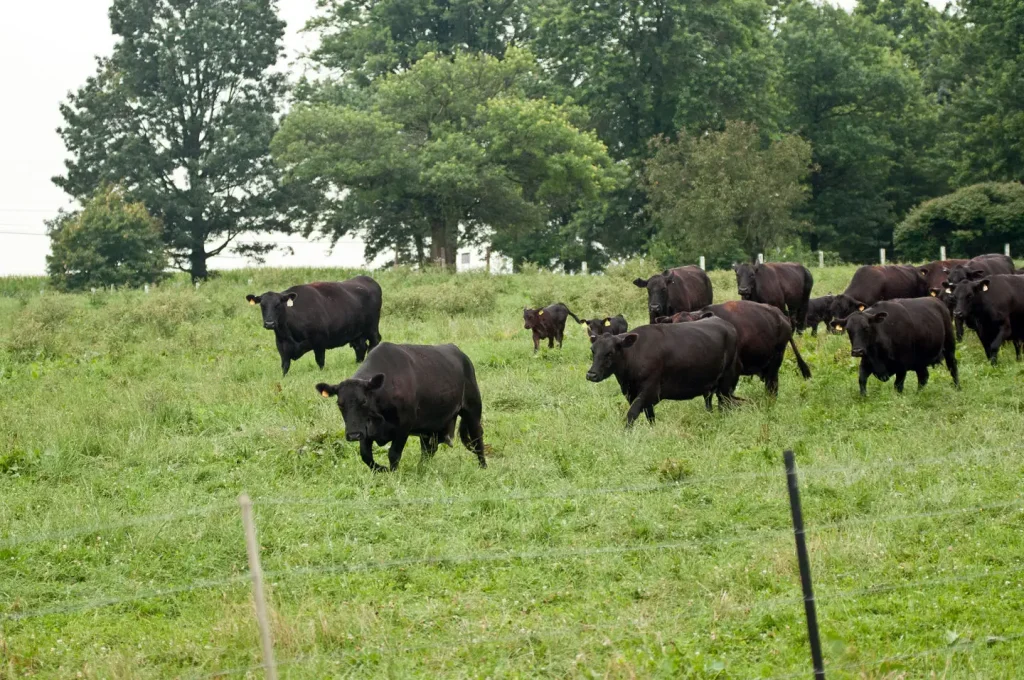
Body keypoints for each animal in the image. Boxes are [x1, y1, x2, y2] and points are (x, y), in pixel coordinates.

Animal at [246, 277, 382, 376]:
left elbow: (320, 361)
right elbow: (285, 366)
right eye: (262, 305)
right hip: (358, 334)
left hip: (372, 329)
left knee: (374, 344)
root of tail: (366, 278)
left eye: (278, 304)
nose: (270, 323)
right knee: (360, 348)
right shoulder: (282, 345)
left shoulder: (319, 342)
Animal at [315, 342, 486, 472]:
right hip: (429, 426)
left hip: (472, 410)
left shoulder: (404, 427)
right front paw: (381, 469)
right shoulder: (366, 429)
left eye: (363, 401)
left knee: (477, 437)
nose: (353, 435)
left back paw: (483, 466)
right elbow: (366, 456)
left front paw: (392, 473)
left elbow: (393, 454)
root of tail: (459, 353)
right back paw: (421, 468)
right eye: (339, 403)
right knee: (428, 449)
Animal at [585, 319, 740, 425]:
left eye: (610, 353)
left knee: (725, 402)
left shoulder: (650, 390)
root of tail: (727, 324)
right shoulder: (634, 394)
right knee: (709, 400)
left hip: (726, 380)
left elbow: (632, 413)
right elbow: (650, 417)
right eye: (593, 350)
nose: (591, 374)